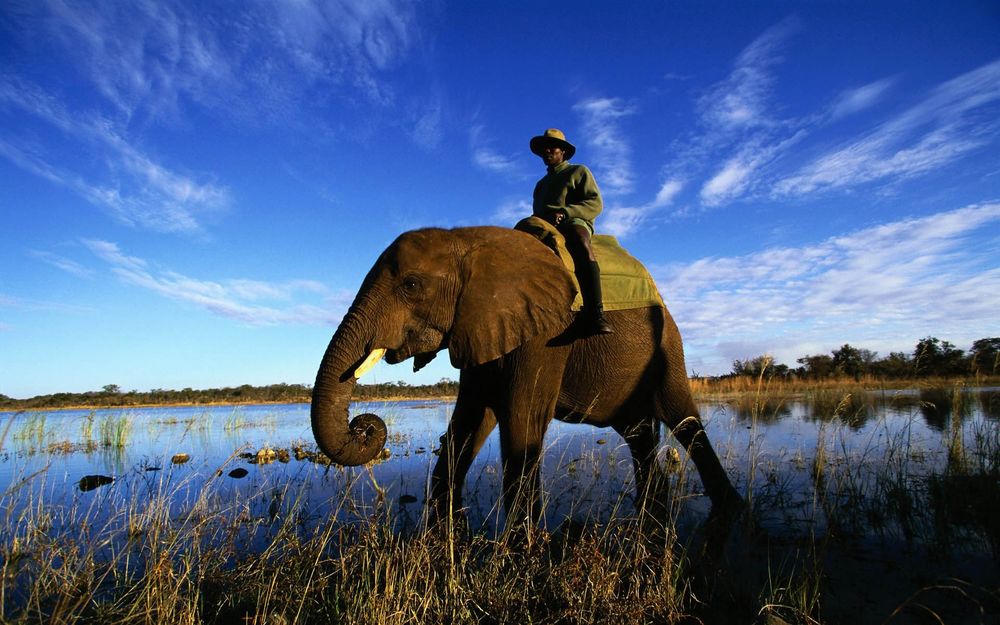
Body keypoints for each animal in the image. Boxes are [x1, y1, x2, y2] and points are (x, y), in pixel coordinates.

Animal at [311, 225, 742, 529]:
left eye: (411, 285)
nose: (363, 425)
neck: (467, 240)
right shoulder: (480, 327)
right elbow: (469, 422)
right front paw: (446, 518)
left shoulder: (546, 335)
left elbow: (521, 418)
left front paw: (523, 542)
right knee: (637, 432)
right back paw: (652, 506)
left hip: (668, 347)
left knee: (684, 421)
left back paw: (730, 506)